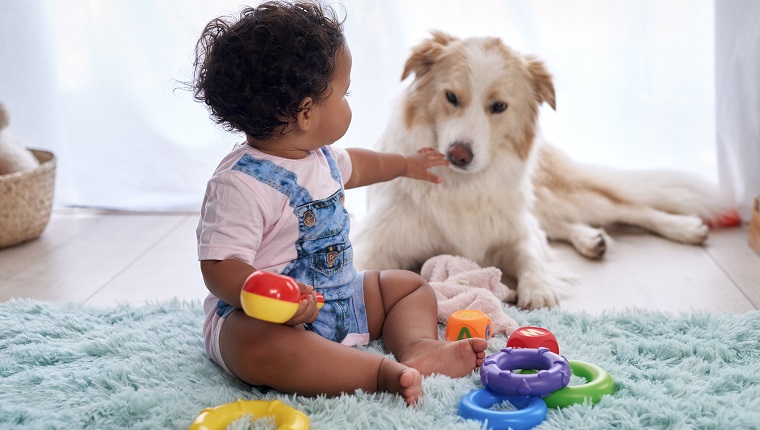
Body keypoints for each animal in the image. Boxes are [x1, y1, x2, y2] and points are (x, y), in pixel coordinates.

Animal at [350, 31, 732, 310]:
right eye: (451, 97)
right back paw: (591, 240)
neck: (464, 186)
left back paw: (684, 228)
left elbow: (530, 254)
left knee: (629, 208)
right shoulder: (376, 241)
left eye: (498, 106)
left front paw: (538, 289)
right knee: (558, 225)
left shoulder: (515, 230)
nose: (459, 155)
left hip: (559, 196)